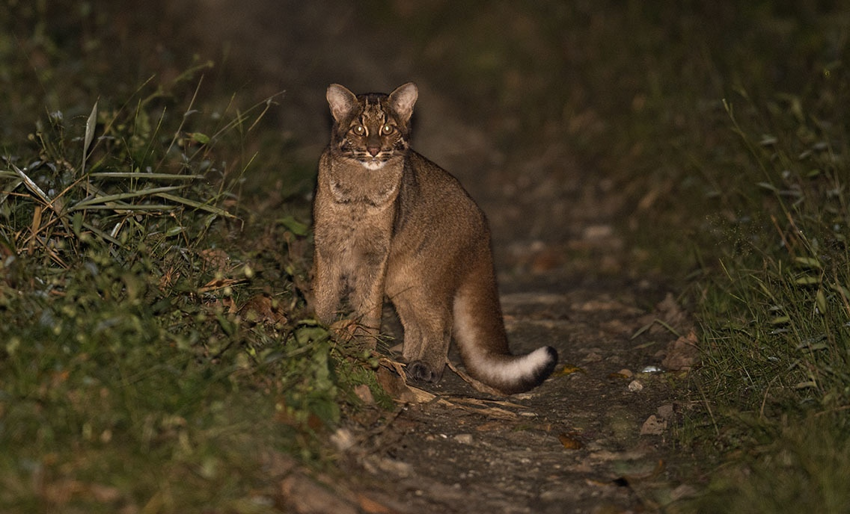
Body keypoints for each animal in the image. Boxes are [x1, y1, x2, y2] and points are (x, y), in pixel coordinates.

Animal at [312, 82, 556, 392]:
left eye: (388, 128)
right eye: (358, 128)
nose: (374, 149)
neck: (359, 196)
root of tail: (482, 222)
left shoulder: (375, 256)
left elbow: (369, 307)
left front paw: (362, 352)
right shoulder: (326, 247)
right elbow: (324, 295)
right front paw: (318, 335)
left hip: (424, 280)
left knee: (442, 321)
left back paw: (428, 366)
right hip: (403, 280)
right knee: (416, 323)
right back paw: (406, 358)